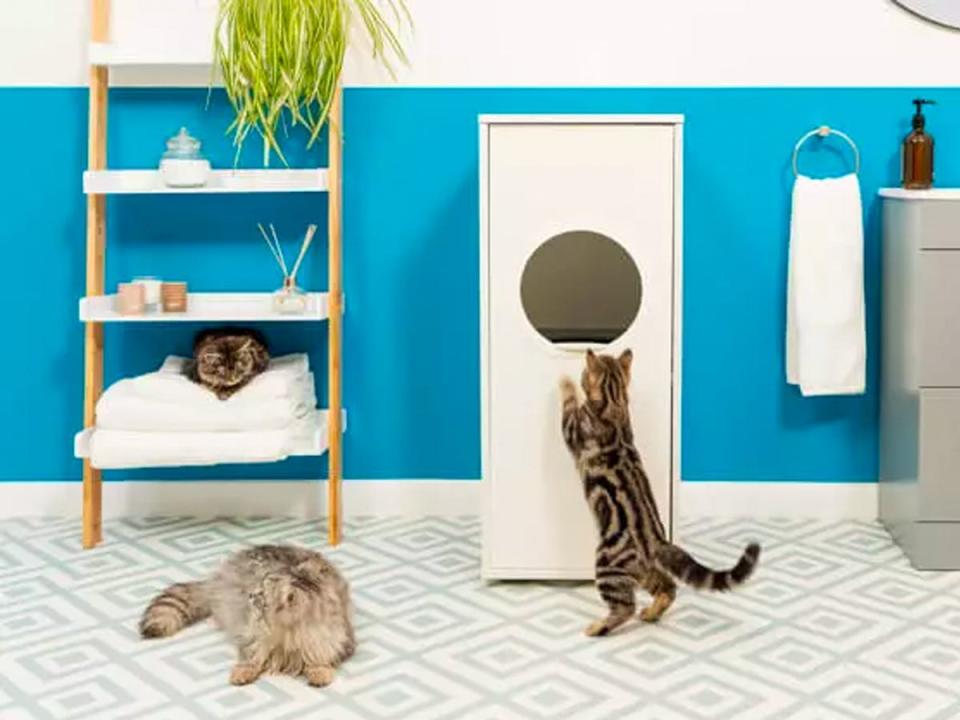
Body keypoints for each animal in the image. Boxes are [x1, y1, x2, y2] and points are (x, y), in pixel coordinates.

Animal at [141, 544, 354, 688]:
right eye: (261, 584)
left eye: (262, 596)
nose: (251, 595)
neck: (289, 637)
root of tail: (215, 580)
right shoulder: (251, 634)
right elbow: (253, 656)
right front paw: (243, 671)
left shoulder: (341, 641)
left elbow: (320, 658)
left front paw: (319, 671)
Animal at [560, 348, 760, 636]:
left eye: (584, 373)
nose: (579, 375)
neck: (616, 402)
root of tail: (657, 542)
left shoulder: (571, 428)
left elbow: (567, 403)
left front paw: (565, 382)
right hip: (643, 572)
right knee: (669, 588)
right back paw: (651, 613)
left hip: (607, 566)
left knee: (625, 608)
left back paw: (598, 627)